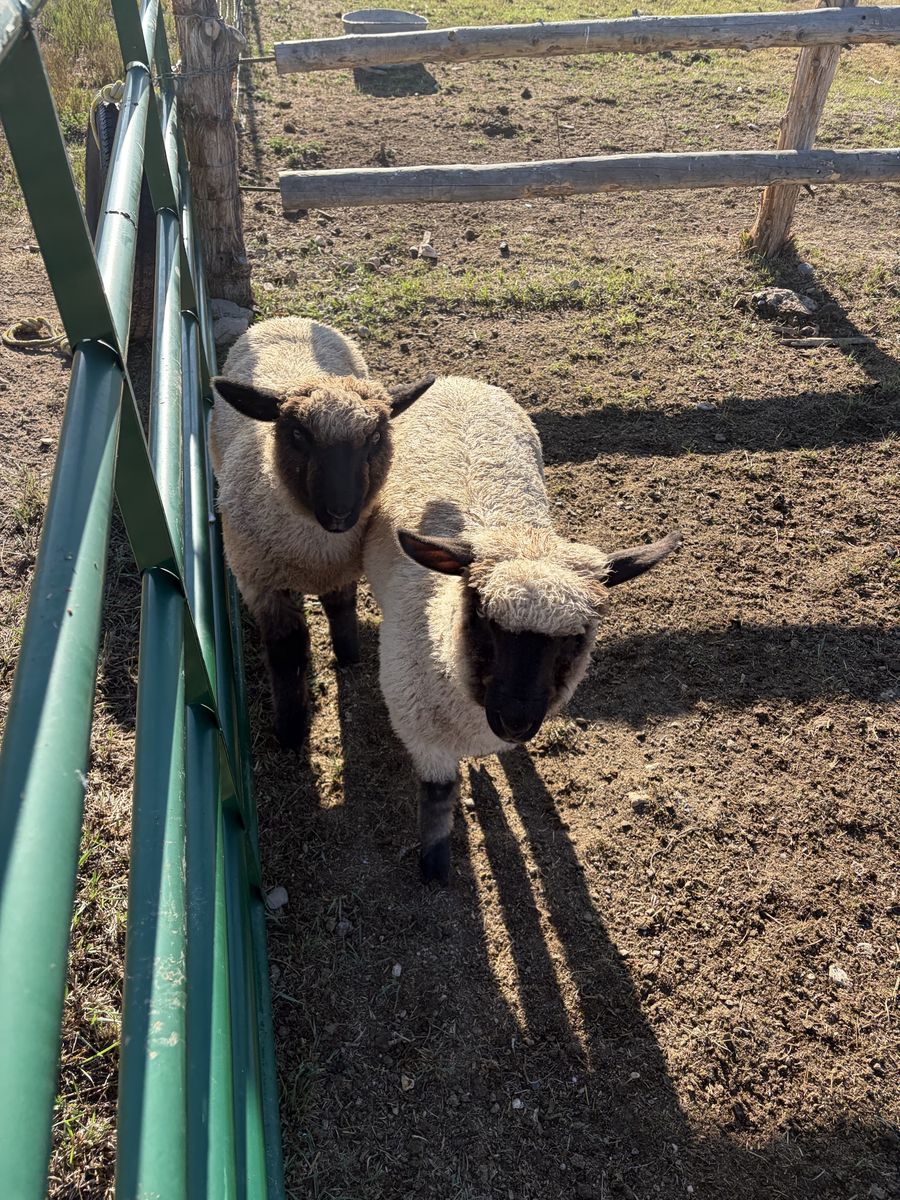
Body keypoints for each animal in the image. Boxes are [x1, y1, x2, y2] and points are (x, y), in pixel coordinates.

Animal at [209, 316, 434, 749]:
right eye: (298, 435)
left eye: (375, 437)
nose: (340, 513)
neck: (313, 551)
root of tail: (289, 318)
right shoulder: (261, 586)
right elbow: (287, 652)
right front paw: (291, 731)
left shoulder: (341, 570)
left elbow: (341, 608)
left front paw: (348, 656)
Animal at [363, 376, 681, 884]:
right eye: (483, 618)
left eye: (577, 636)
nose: (515, 719)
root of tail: (459, 379)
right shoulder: (424, 741)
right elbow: (437, 805)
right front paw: (435, 870)